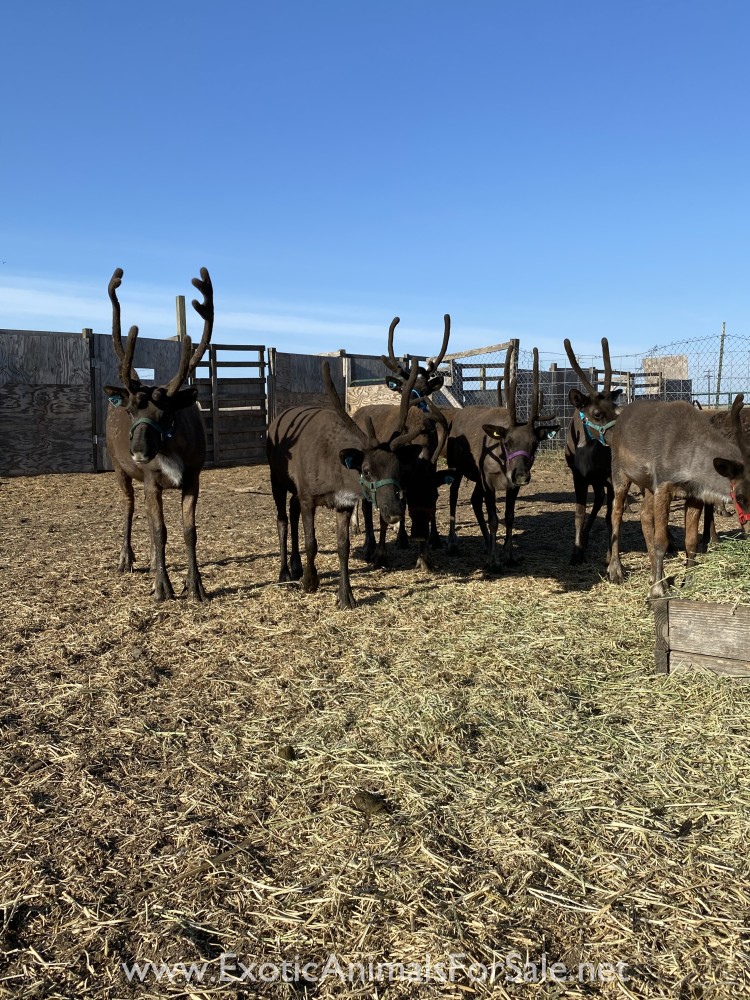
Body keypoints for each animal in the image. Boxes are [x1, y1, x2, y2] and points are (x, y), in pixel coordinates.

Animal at [103, 267, 213, 602]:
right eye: (130, 412)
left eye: (165, 414)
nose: (139, 451)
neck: (171, 448)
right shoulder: (151, 479)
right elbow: (159, 530)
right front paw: (163, 587)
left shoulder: (192, 478)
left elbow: (189, 531)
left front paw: (195, 586)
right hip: (119, 468)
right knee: (129, 506)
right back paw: (127, 558)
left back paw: (152, 560)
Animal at [267, 360, 421, 609]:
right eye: (366, 470)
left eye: (398, 468)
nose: (395, 512)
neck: (334, 471)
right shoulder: (308, 497)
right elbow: (312, 542)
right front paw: (310, 582)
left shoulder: (343, 503)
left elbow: (343, 547)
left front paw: (346, 596)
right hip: (277, 479)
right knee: (282, 519)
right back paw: (285, 574)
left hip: (294, 490)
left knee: (292, 510)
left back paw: (296, 565)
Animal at [443, 344, 559, 569]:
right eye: (507, 442)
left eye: (535, 444)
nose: (522, 475)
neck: (504, 465)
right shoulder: (488, 481)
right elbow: (494, 519)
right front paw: (493, 560)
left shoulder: (510, 486)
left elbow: (509, 516)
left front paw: (508, 555)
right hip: (457, 466)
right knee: (453, 494)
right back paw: (452, 543)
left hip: (476, 477)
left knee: (474, 500)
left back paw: (487, 542)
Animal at [563, 337, 624, 565]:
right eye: (597, 413)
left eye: (616, 408)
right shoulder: (578, 475)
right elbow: (579, 512)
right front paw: (577, 551)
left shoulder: (610, 475)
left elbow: (611, 516)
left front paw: (611, 557)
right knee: (597, 498)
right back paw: (585, 538)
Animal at [606, 394, 747, 599]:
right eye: (741, 497)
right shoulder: (664, 487)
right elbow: (661, 542)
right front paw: (657, 592)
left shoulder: (694, 496)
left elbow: (691, 541)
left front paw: (686, 584)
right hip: (620, 473)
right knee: (616, 514)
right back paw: (616, 570)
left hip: (649, 486)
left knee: (645, 515)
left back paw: (655, 575)